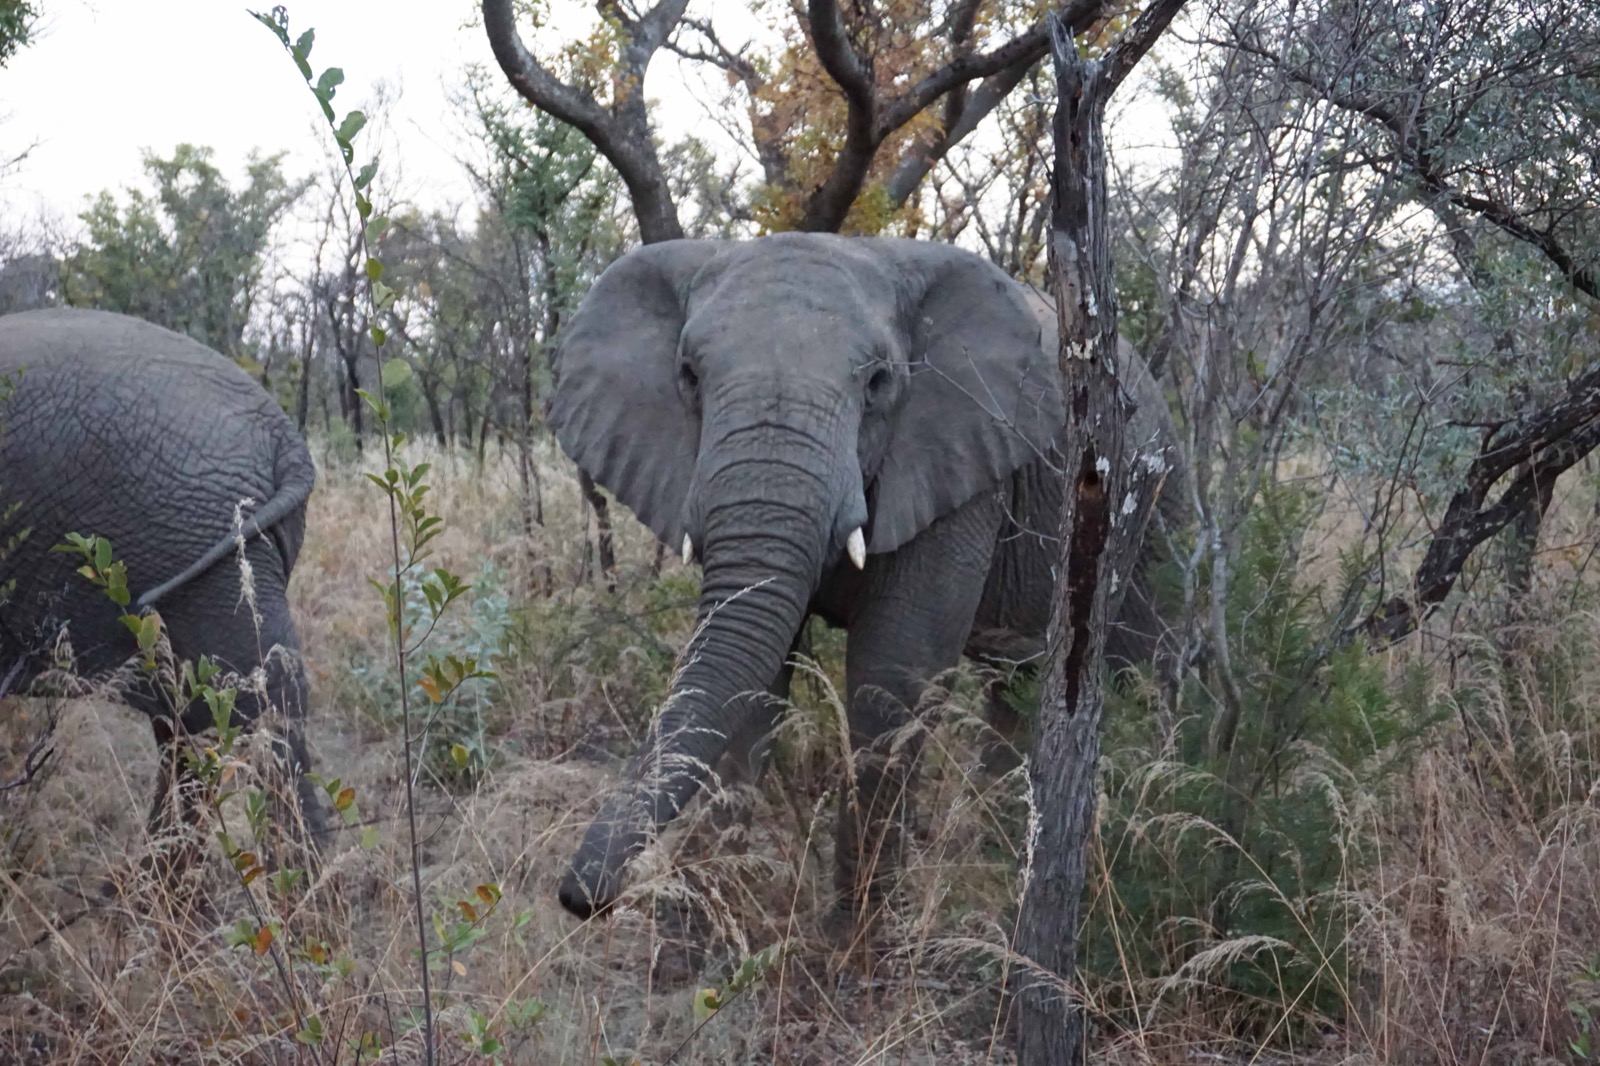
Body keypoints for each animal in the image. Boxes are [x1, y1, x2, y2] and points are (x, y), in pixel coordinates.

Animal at [548, 234, 1181, 924]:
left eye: (879, 383)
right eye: (688, 377)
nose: (581, 899)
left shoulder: (956, 455)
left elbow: (891, 674)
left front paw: (854, 942)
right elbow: (753, 683)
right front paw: (705, 925)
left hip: (1147, 505)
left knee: (1138, 666)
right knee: (1013, 681)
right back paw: (991, 846)